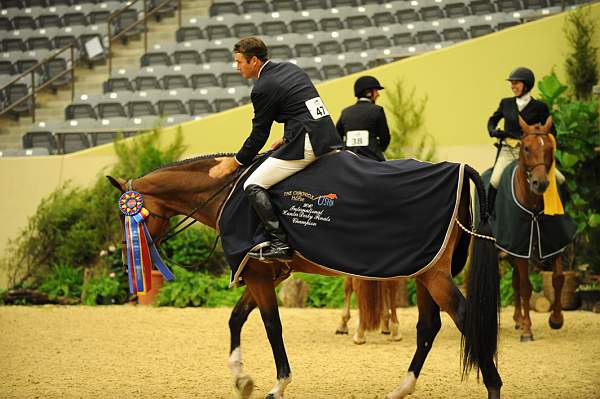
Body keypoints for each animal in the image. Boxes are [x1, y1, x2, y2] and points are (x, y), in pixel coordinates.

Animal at [106, 154, 502, 399]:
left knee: (465, 319)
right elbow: (236, 319)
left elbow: (271, 326)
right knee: (428, 327)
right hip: (423, 272)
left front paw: (277, 385)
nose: (126, 261)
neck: (231, 193)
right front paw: (241, 379)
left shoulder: (259, 278)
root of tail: (458, 167)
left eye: (129, 215)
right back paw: (402, 388)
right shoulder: (265, 274)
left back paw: (493, 386)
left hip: (435, 276)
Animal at [506, 118, 568, 340]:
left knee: (515, 281)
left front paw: (556, 319)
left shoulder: (554, 242)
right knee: (518, 283)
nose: (540, 183)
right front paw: (527, 329)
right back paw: (520, 321)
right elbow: (526, 287)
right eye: (526, 148)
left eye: (550, 148)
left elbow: (558, 278)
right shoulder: (520, 247)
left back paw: (517, 318)